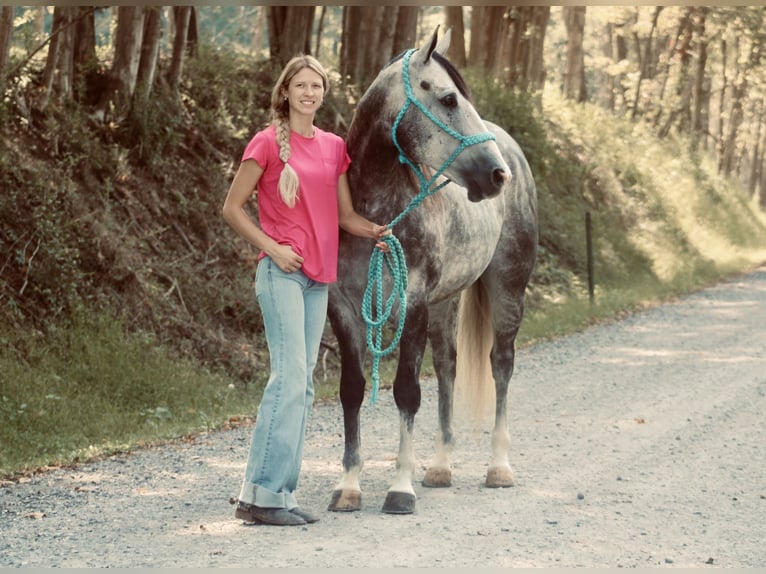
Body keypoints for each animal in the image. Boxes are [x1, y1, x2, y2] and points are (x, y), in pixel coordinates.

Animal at [328, 27, 540, 516]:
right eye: (447, 99)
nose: (496, 174)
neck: (375, 211)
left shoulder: (414, 303)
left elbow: (407, 391)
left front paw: (400, 489)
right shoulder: (345, 309)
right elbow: (352, 390)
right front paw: (349, 487)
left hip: (507, 288)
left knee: (501, 365)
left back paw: (499, 467)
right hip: (448, 301)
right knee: (447, 366)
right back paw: (441, 466)